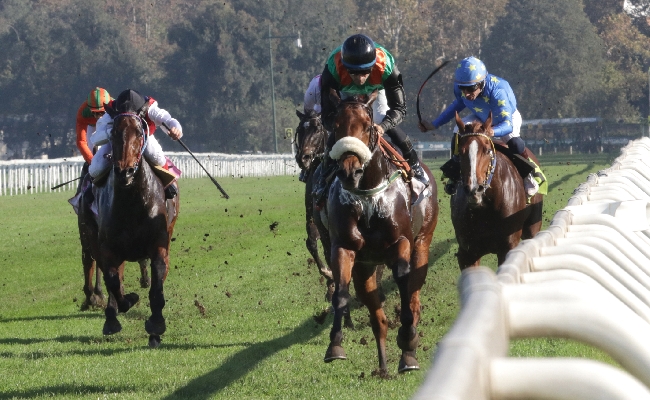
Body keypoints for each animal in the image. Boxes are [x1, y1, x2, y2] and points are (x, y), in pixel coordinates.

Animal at [79, 112, 180, 346]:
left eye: (139, 133)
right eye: (114, 132)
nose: (125, 172)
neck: (132, 202)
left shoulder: (159, 244)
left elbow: (157, 286)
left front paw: (156, 325)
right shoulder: (108, 248)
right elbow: (114, 282)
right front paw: (123, 305)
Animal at [318, 92, 436, 374]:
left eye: (367, 125)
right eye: (335, 125)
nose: (350, 171)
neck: (367, 196)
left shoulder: (401, 242)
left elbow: (404, 281)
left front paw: (408, 339)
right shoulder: (344, 247)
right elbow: (340, 292)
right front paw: (335, 345)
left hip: (423, 242)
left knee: (414, 295)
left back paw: (409, 351)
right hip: (366, 269)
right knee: (378, 318)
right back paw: (383, 366)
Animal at [448, 111, 540, 270]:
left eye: (487, 150)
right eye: (460, 152)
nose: (474, 189)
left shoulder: (507, 247)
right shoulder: (467, 253)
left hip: (533, 226)